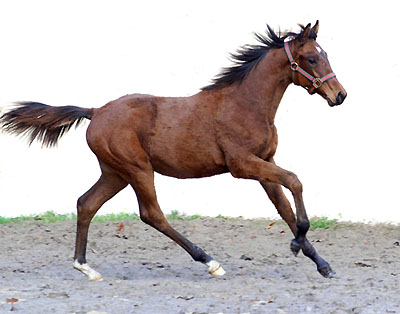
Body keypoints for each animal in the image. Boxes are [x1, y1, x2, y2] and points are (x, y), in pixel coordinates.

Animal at [0, 22, 346, 282]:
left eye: (325, 54)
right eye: (311, 58)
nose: (340, 95)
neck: (245, 104)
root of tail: (95, 111)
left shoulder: (264, 162)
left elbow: (285, 207)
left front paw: (320, 262)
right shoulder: (243, 164)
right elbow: (295, 182)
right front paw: (297, 243)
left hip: (115, 173)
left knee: (87, 204)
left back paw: (85, 267)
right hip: (138, 169)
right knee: (151, 214)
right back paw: (209, 261)